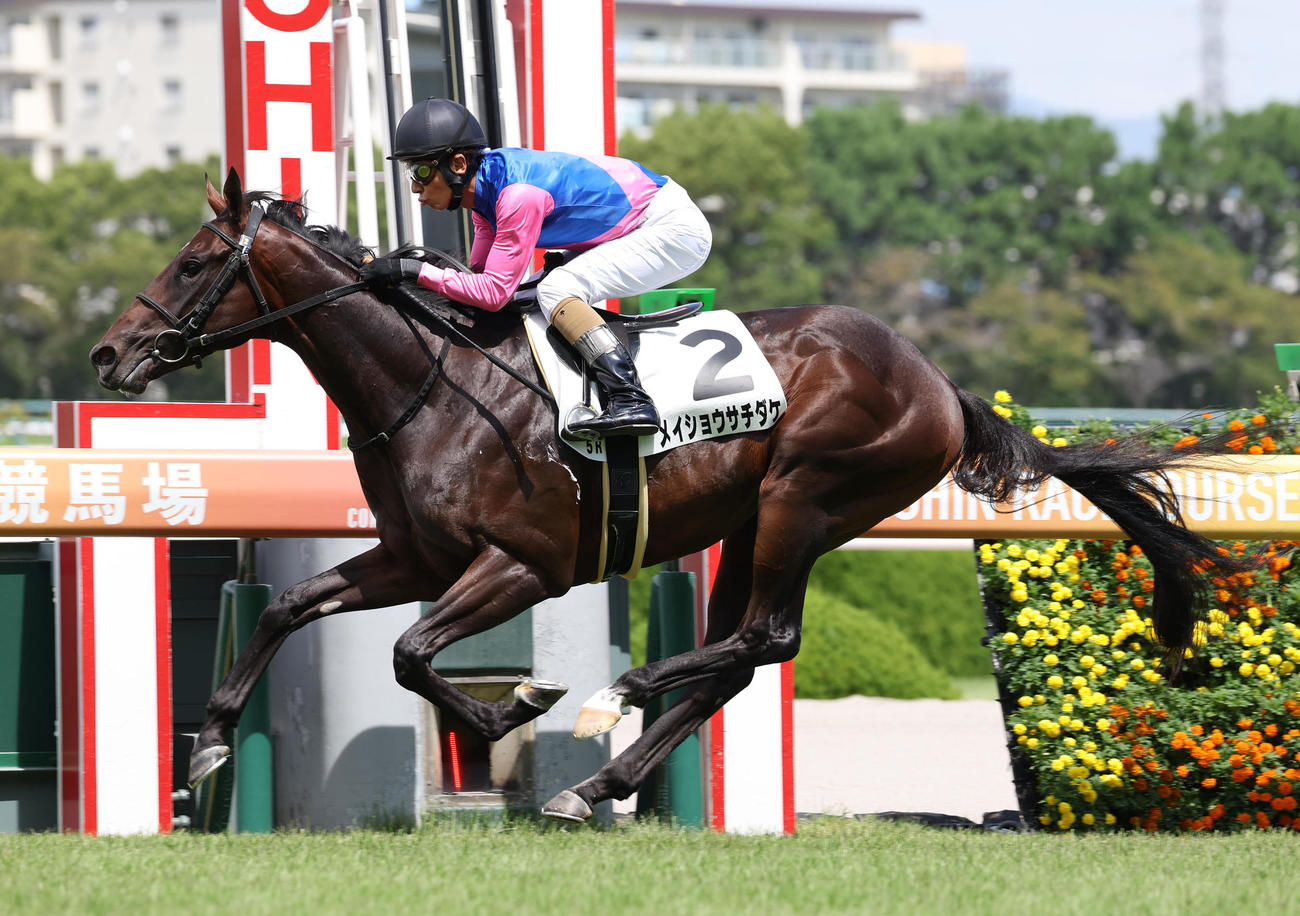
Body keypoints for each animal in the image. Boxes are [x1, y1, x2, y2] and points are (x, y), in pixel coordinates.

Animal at [91, 168, 1245, 824]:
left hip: (805, 500)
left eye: (194, 261)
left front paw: (517, 705)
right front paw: (205, 744)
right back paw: (593, 783)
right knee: (739, 654)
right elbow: (292, 606)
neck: (437, 383)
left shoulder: (524, 563)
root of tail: (935, 378)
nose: (112, 353)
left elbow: (414, 654)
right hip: (755, 522)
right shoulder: (418, 555)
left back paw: (615, 700)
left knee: (764, 638)